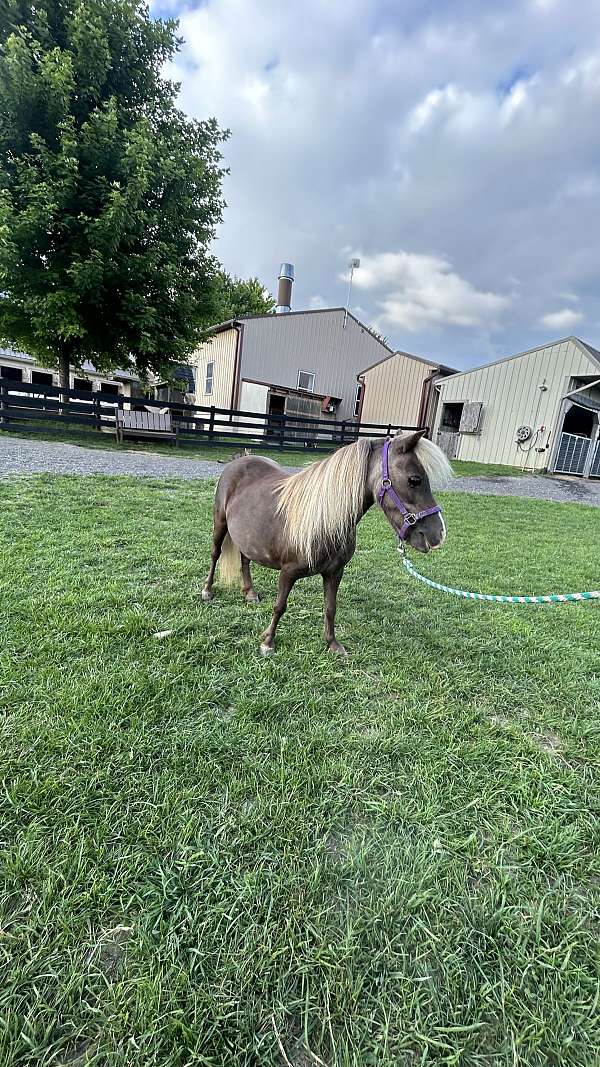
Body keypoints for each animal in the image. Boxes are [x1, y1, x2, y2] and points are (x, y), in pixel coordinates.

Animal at [200, 428, 448, 653]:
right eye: (414, 480)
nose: (437, 535)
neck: (324, 520)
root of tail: (240, 460)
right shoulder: (288, 572)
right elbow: (280, 606)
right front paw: (268, 642)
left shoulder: (334, 572)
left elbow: (330, 608)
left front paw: (332, 644)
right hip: (220, 524)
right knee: (215, 554)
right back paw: (207, 591)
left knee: (245, 558)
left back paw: (250, 593)